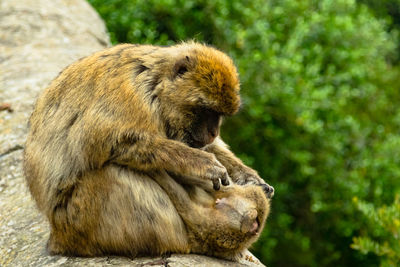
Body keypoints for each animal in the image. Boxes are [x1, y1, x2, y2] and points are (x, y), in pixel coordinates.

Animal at [23, 43, 274, 258]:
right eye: (206, 110)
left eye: (219, 114)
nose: (213, 132)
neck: (154, 84)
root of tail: (58, 236)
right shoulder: (129, 96)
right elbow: (111, 144)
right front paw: (201, 163)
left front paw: (250, 178)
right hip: (78, 219)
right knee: (111, 173)